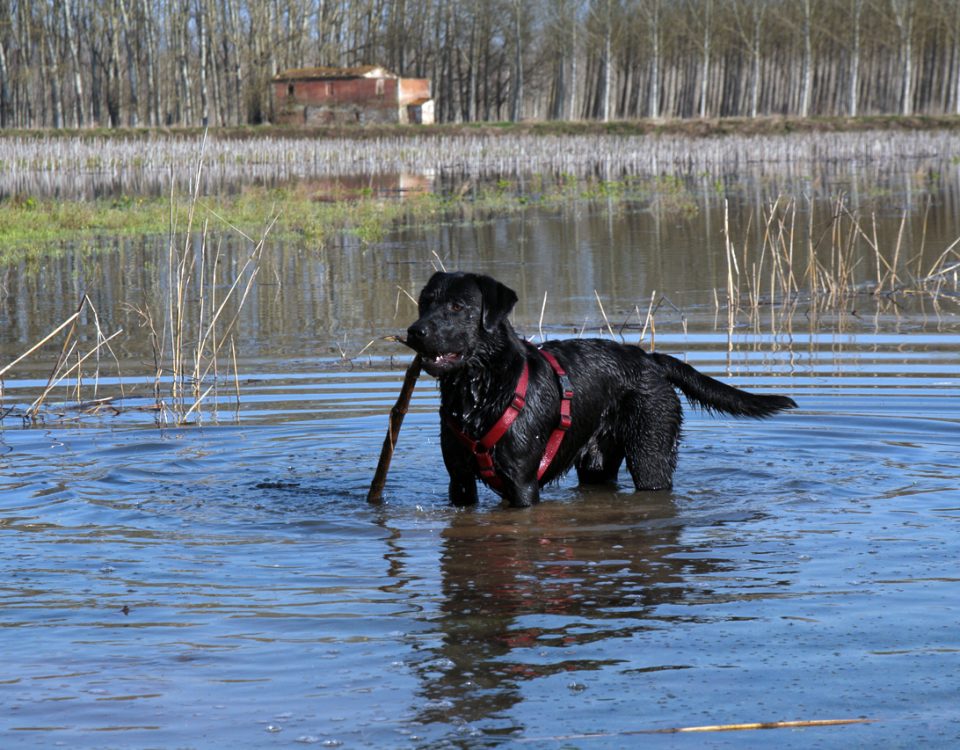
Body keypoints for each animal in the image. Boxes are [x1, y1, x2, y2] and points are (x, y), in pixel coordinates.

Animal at [404, 274, 796, 508]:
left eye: (457, 306)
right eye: (425, 302)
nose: (414, 331)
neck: (480, 388)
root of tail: (650, 359)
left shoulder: (522, 482)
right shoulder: (459, 480)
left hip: (651, 453)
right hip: (598, 462)